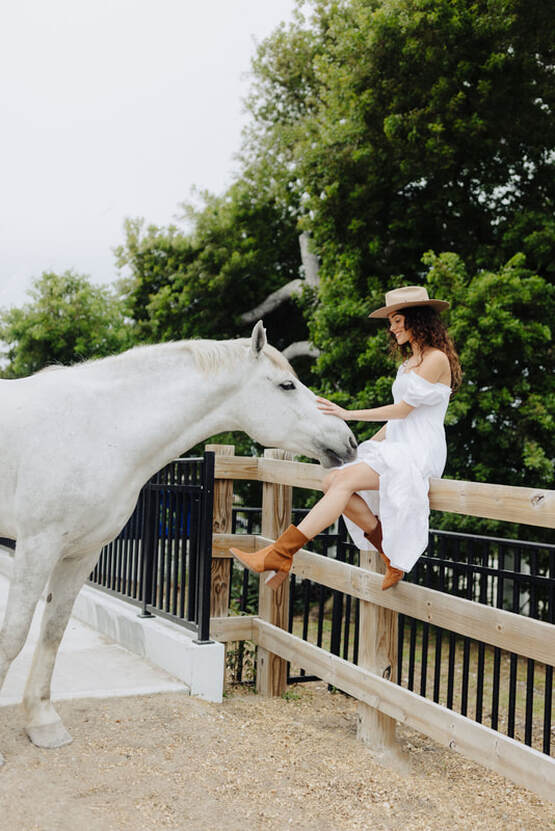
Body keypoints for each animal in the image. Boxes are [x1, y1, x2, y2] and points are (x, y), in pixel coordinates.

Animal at [0, 322, 356, 764]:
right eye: (287, 385)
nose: (348, 440)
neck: (96, 428)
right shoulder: (37, 547)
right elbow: (14, 635)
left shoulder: (81, 553)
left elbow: (52, 631)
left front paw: (43, 722)